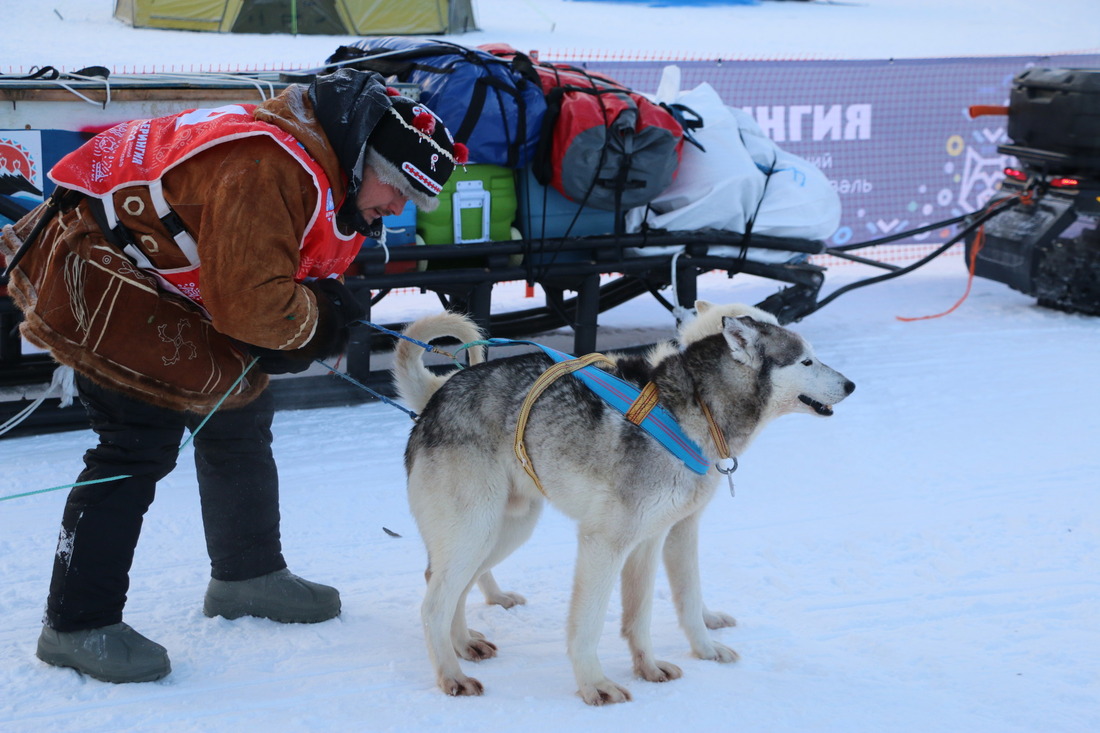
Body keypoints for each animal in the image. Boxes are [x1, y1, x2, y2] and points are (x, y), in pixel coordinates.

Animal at [398, 301, 858, 704]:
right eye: (806, 362)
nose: (851, 385)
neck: (695, 411)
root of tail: (437, 396)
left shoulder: (652, 539)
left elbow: (645, 615)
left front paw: (651, 667)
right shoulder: (605, 543)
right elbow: (588, 626)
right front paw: (595, 686)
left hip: (504, 530)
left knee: (445, 582)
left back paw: (462, 644)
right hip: (476, 531)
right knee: (433, 604)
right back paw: (452, 675)